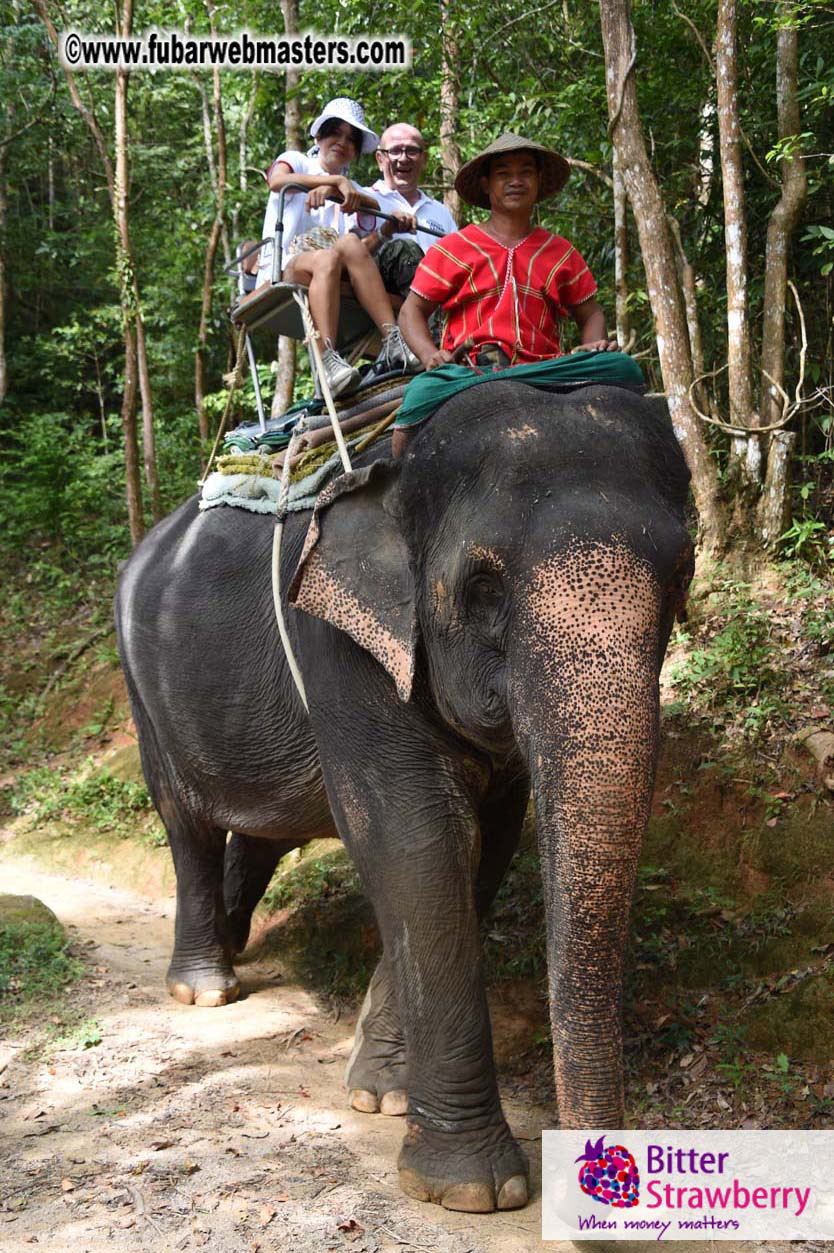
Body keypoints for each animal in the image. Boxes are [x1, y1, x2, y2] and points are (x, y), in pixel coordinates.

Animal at [115, 380, 694, 1214]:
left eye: (682, 573)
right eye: (481, 587)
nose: (600, 1193)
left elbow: (479, 847)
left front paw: (383, 1094)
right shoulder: (338, 642)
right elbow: (415, 837)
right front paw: (472, 1189)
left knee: (258, 835)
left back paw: (234, 942)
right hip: (143, 689)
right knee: (185, 821)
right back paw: (205, 988)